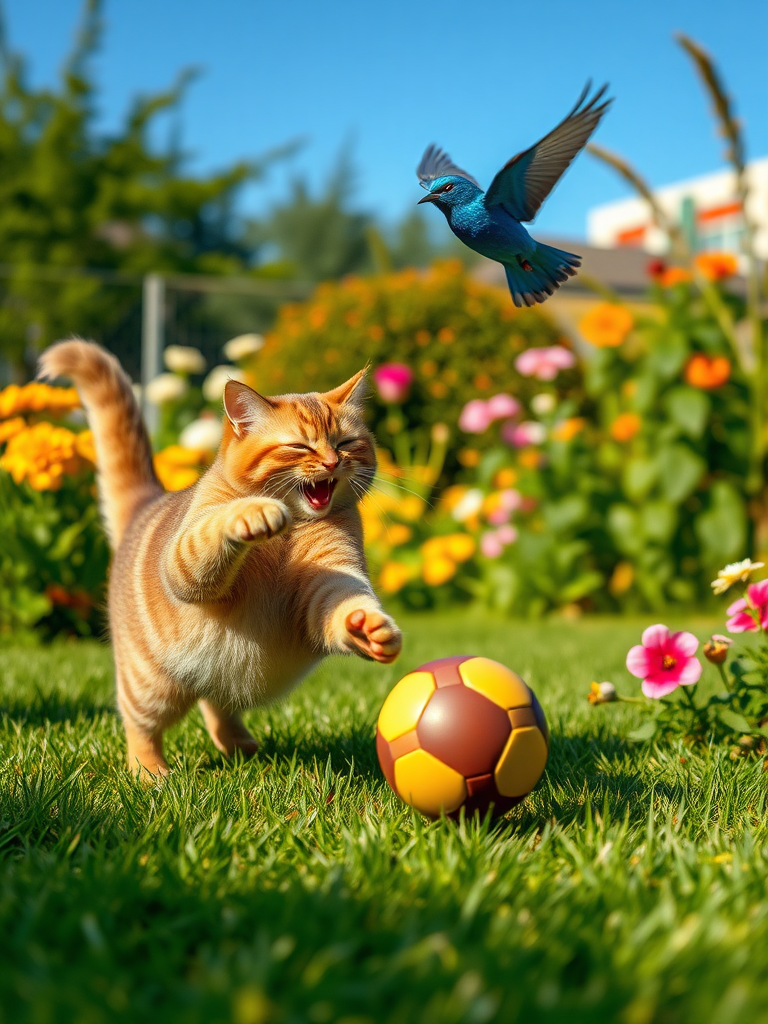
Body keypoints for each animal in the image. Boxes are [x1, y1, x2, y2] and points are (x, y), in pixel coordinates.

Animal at [38, 339, 403, 770]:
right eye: (299, 446)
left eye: (345, 444)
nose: (333, 462)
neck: (291, 532)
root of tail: (147, 503)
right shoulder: (187, 563)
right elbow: (214, 528)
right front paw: (253, 512)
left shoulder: (329, 580)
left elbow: (347, 604)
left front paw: (369, 629)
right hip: (151, 688)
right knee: (141, 728)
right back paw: (151, 773)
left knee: (217, 704)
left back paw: (242, 746)